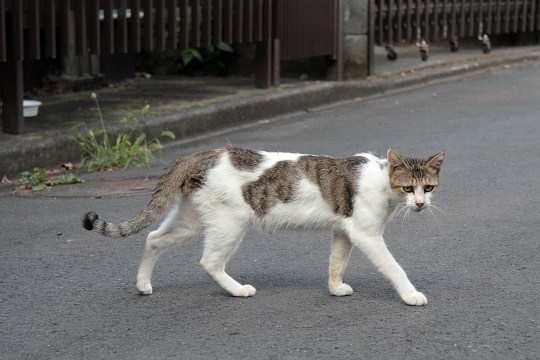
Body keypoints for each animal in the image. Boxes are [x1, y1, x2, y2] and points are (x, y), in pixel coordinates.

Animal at [84, 145, 446, 306]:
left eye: (428, 187)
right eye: (408, 188)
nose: (420, 204)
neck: (383, 182)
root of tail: (199, 154)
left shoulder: (345, 230)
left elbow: (336, 263)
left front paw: (335, 288)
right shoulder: (366, 235)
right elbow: (394, 267)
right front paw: (411, 295)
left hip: (190, 220)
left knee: (153, 238)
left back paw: (143, 284)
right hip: (229, 224)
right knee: (209, 262)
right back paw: (237, 289)